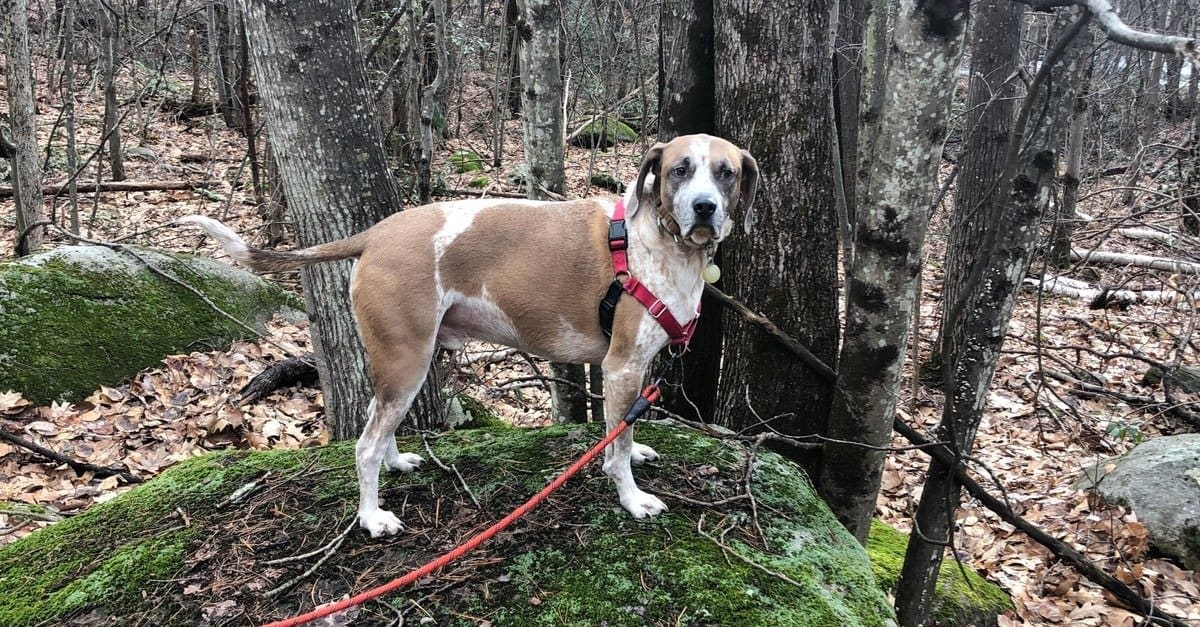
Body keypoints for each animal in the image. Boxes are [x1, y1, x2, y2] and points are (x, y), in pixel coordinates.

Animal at [180, 133, 758, 533]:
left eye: (725, 173)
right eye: (680, 170)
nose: (705, 207)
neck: (658, 243)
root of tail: (377, 233)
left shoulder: (633, 372)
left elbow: (625, 431)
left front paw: (634, 453)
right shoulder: (620, 368)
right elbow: (614, 447)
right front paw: (632, 497)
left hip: (408, 362)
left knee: (376, 421)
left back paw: (396, 460)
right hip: (407, 361)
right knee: (363, 446)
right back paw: (371, 517)